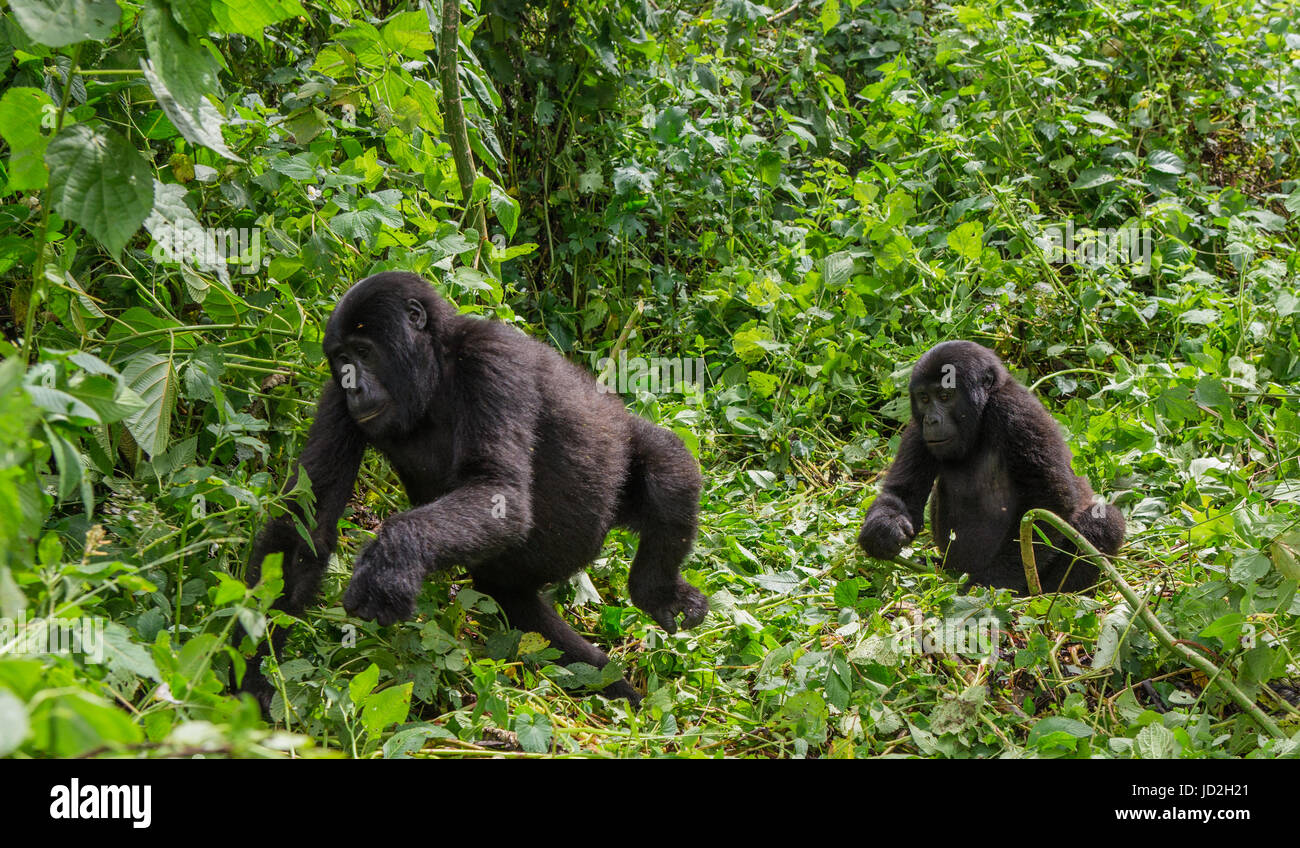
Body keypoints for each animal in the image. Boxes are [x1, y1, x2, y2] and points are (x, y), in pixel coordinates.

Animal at [244, 273, 712, 707]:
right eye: (341, 359)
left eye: (363, 353)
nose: (353, 385)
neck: (435, 367)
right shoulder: (336, 399)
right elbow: (305, 523)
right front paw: (251, 676)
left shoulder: (489, 358)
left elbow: (496, 489)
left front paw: (393, 558)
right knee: (512, 601)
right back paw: (602, 676)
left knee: (668, 467)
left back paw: (657, 592)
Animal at [857, 340, 1123, 593]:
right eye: (924, 398)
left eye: (944, 396)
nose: (931, 420)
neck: (982, 414)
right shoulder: (916, 427)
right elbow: (903, 493)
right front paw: (882, 531)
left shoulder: (1016, 412)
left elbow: (1048, 503)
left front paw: (992, 582)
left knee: (1105, 521)